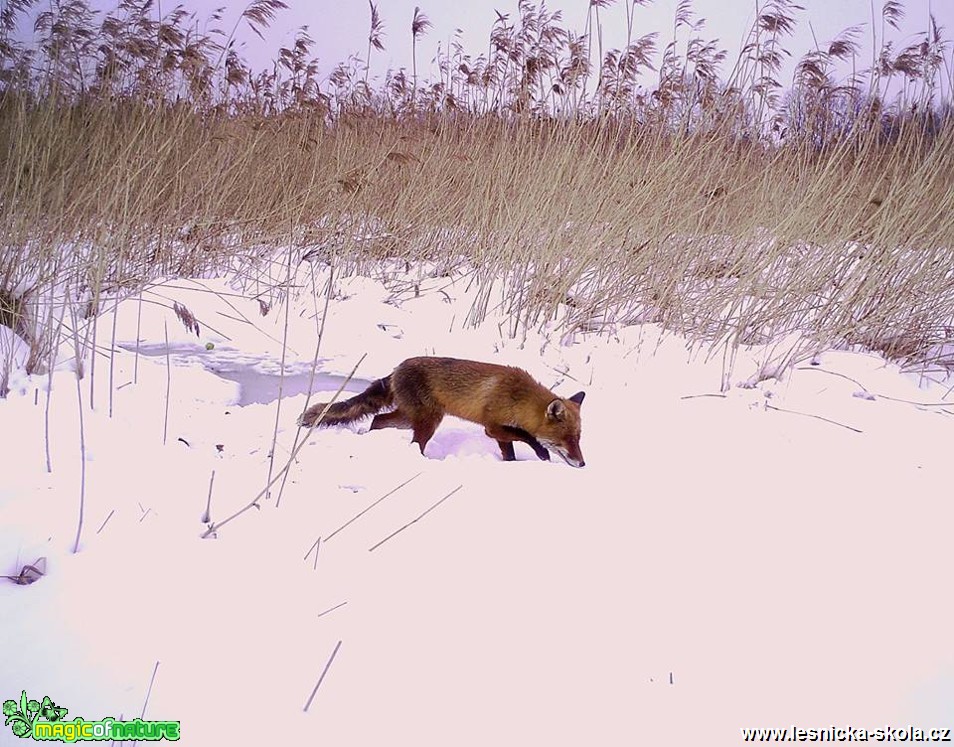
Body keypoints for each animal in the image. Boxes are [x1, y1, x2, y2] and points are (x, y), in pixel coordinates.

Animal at [298, 356, 584, 468]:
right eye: (568, 439)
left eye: (578, 438)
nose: (583, 464)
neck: (518, 397)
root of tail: (397, 368)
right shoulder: (492, 428)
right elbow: (528, 435)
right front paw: (542, 453)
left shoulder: (500, 434)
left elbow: (511, 452)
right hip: (428, 420)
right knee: (413, 440)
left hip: (408, 418)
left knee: (378, 419)